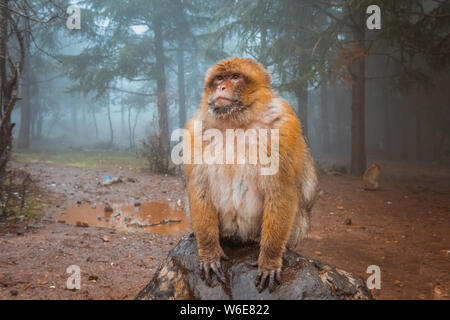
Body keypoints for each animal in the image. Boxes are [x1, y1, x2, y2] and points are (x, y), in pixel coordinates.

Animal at [183, 57, 316, 292]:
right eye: (219, 78)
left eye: (235, 77)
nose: (221, 88)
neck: (236, 122)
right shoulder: (195, 129)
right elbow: (199, 188)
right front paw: (209, 254)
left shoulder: (284, 124)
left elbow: (282, 191)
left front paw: (269, 260)